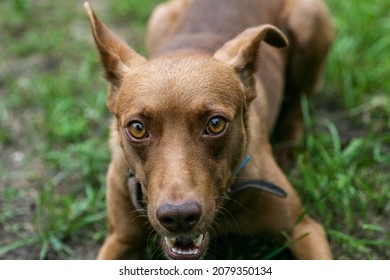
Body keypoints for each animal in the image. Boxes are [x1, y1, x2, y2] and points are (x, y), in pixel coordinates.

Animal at [84, 0, 334, 260]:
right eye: (137, 129)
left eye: (216, 124)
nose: (179, 217)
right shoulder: (119, 240)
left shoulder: (303, 229)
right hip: (158, 17)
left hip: (307, 19)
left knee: (297, 99)